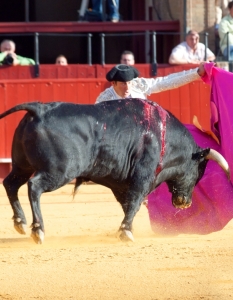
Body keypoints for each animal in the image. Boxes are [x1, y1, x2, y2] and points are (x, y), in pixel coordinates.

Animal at [0, 99, 229, 244]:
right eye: (198, 172)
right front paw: (126, 232)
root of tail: (39, 109)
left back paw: (20, 222)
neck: (164, 136)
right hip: (59, 171)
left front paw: (125, 229)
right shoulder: (142, 177)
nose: (185, 203)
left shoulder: (120, 184)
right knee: (34, 186)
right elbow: (135, 202)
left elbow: (128, 204)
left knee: (10, 183)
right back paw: (38, 230)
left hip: (22, 166)